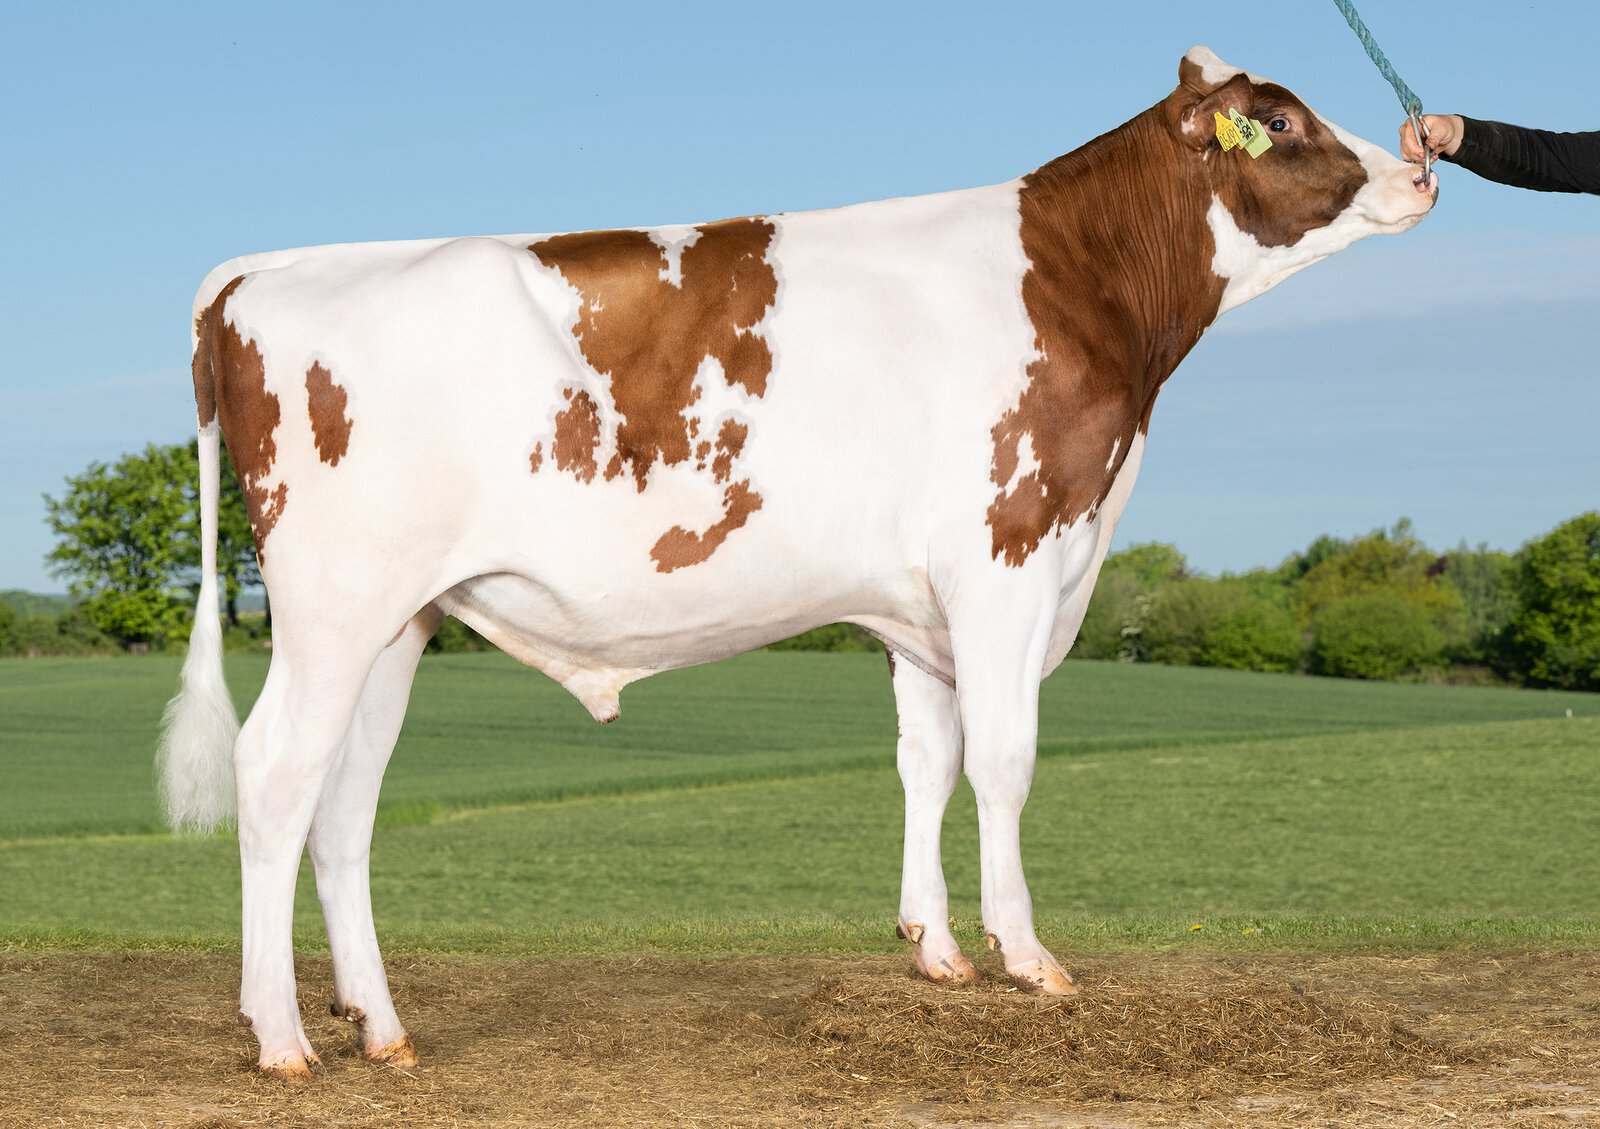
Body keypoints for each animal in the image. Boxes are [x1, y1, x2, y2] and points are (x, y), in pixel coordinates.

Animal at [159, 47, 1436, 1076]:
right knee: (274, 773)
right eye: (1280, 120)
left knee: (345, 802)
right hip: (333, 603)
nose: (1421, 167)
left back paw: (380, 1027)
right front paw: (1027, 957)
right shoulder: (1008, 558)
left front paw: (937, 951)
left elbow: (928, 761)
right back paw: (279, 1038)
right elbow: (1004, 760)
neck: (1085, 287)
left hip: (398, 618)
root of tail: (263, 272)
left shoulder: (921, 606)